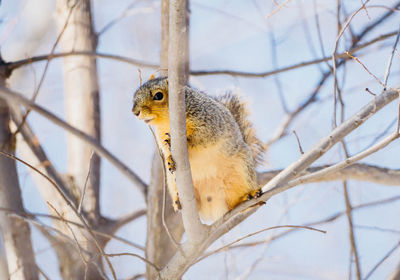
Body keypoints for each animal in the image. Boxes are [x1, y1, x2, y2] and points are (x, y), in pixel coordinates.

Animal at [133, 76, 268, 221]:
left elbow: (203, 137)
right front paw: (169, 158)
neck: (167, 122)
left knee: (238, 204)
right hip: (172, 182)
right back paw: (178, 201)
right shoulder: (161, 136)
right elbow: (166, 150)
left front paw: (185, 141)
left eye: (158, 95)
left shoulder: (208, 121)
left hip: (242, 169)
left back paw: (249, 196)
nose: (135, 112)